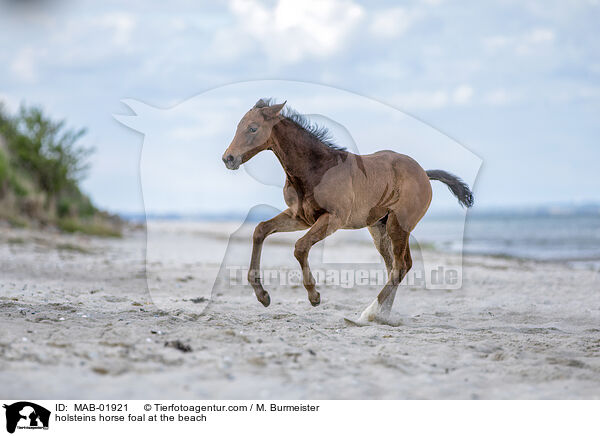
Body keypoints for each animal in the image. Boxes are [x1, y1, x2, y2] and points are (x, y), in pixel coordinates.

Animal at [221, 100, 474, 322]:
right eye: (238, 126)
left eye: (253, 128)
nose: (228, 158)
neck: (316, 168)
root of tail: (423, 173)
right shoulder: (300, 217)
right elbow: (260, 230)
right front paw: (262, 295)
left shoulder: (334, 219)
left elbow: (300, 247)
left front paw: (314, 296)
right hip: (379, 228)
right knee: (397, 265)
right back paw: (383, 314)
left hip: (398, 225)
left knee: (400, 266)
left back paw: (369, 314)